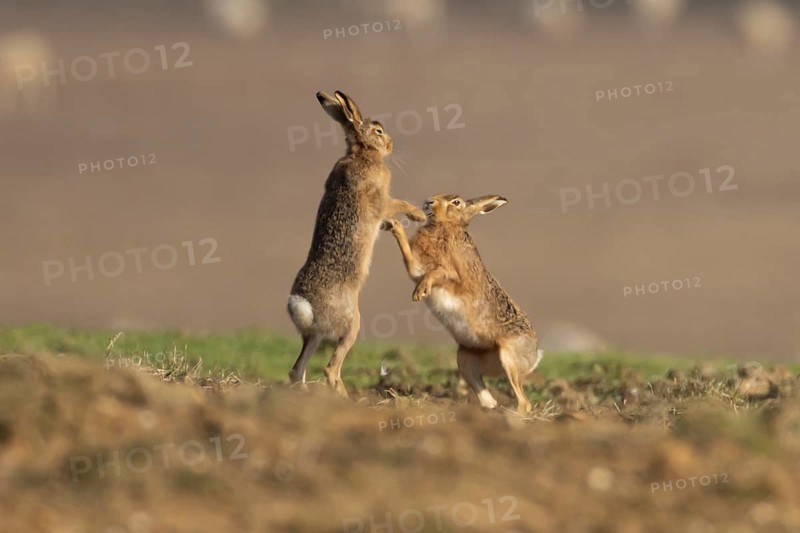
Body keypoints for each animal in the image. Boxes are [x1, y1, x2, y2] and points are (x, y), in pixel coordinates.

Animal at [287, 90, 425, 397]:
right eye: (378, 131)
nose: (390, 144)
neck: (361, 154)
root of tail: (304, 306)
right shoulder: (382, 200)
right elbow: (397, 204)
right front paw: (418, 215)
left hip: (315, 337)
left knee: (297, 370)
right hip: (352, 325)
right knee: (330, 369)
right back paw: (345, 399)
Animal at [383, 194, 542, 414]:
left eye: (456, 202)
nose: (429, 202)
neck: (447, 226)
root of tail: (534, 356)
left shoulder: (453, 276)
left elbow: (438, 272)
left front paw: (420, 292)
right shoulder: (417, 267)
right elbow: (409, 256)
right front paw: (393, 224)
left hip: (508, 358)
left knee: (524, 402)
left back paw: (511, 416)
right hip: (465, 359)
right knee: (487, 396)